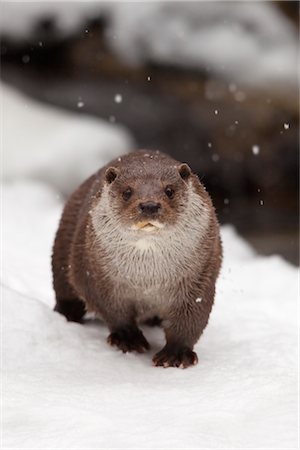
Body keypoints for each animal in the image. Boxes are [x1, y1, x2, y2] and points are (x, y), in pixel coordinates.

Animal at [51, 149, 221, 368]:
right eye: (127, 192)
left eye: (169, 190)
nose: (149, 205)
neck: (147, 280)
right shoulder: (96, 276)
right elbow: (113, 310)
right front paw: (128, 338)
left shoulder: (199, 277)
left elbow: (191, 318)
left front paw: (175, 354)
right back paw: (68, 314)